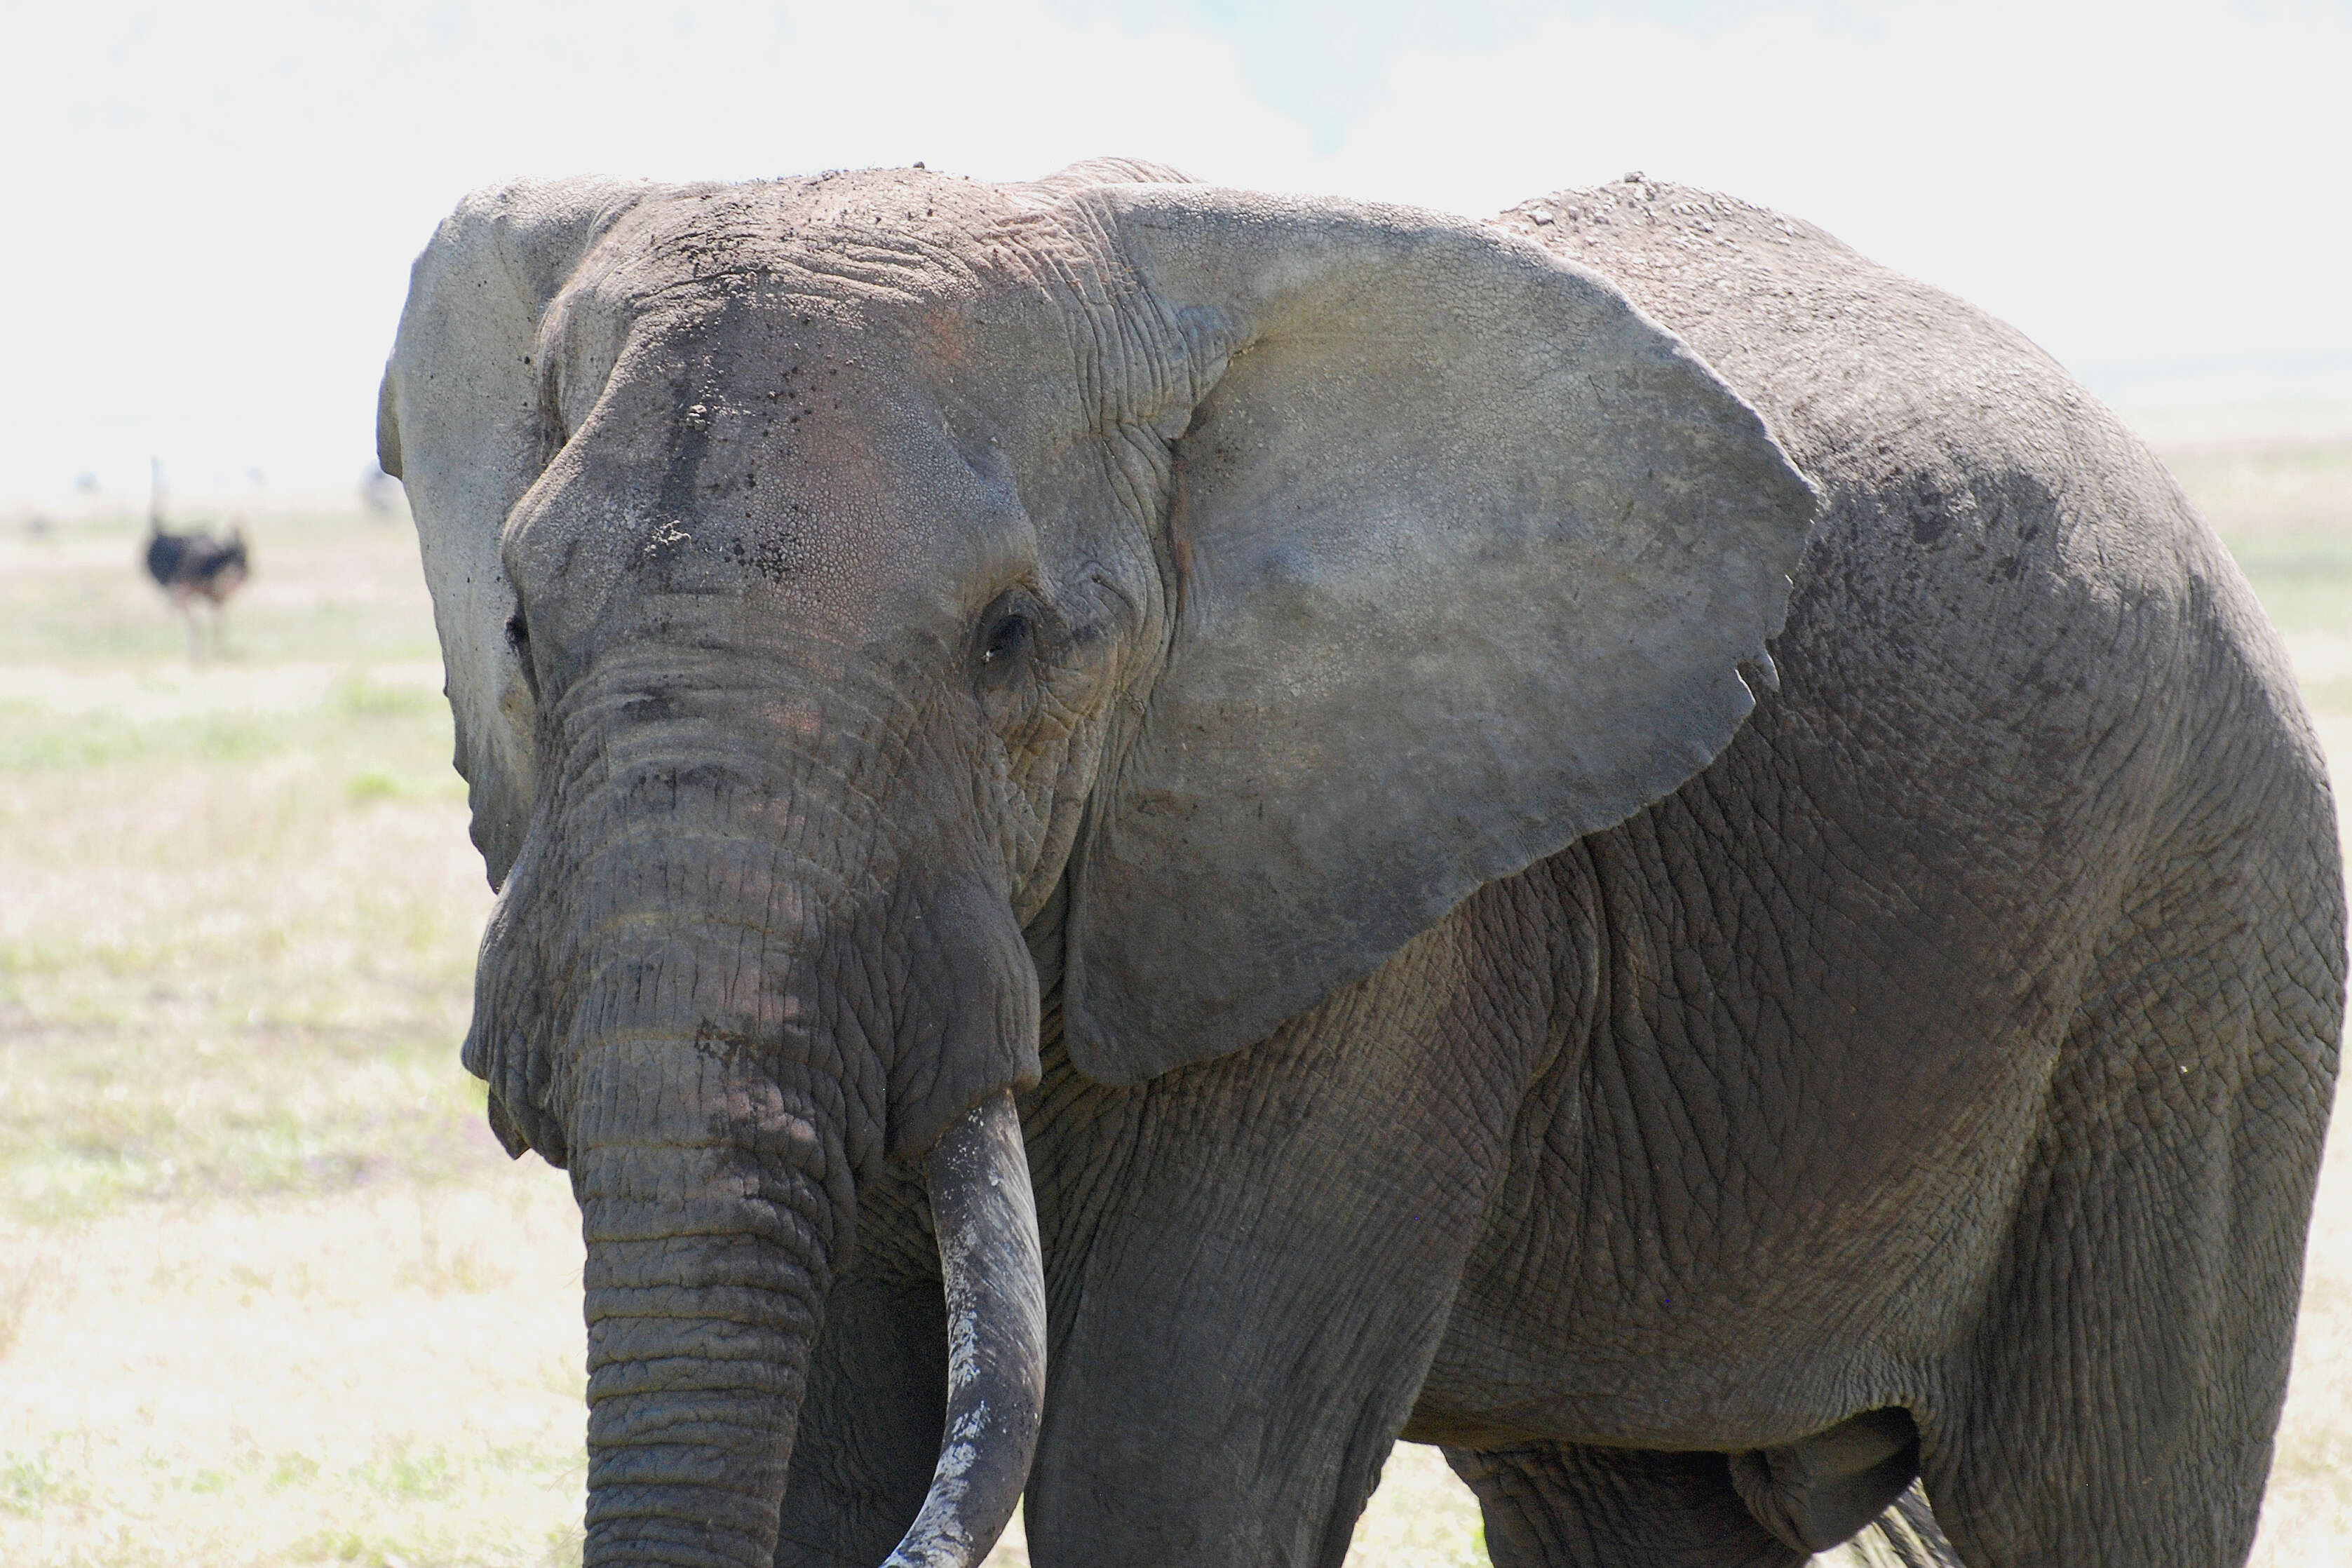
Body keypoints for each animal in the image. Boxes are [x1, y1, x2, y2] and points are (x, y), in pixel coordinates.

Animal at [376, 159, 2342, 1568]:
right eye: (523, 627)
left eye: (1014, 639)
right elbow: (826, 1464)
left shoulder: (1399, 917)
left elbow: (1165, 1473)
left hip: (2202, 939)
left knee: (2102, 1492)